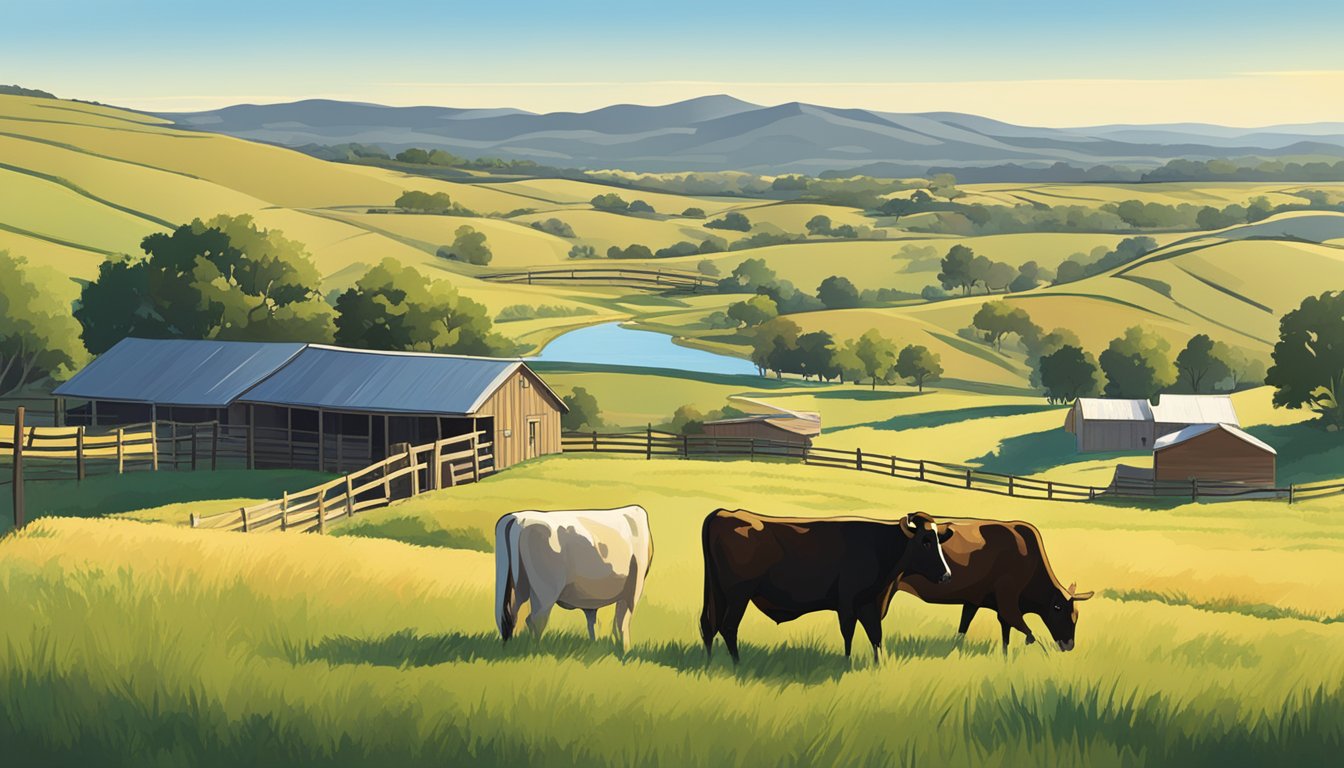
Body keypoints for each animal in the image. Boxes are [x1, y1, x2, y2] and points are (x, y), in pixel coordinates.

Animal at [499, 508, 655, 650]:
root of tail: (519, 518)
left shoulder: (592, 600)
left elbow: (593, 623)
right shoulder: (633, 588)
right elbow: (621, 624)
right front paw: (625, 652)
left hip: (517, 588)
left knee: (510, 617)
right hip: (544, 593)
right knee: (535, 620)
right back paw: (537, 651)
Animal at [704, 508, 956, 664]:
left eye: (938, 540)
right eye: (925, 541)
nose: (947, 575)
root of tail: (724, 513)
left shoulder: (868, 602)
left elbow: (876, 635)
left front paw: (878, 665)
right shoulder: (847, 602)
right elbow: (848, 632)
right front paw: (846, 663)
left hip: (718, 594)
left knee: (708, 626)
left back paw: (710, 664)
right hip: (738, 595)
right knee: (728, 627)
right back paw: (737, 665)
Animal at [892, 519, 1091, 650]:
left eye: (1077, 615)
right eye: (1058, 608)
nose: (1069, 645)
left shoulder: (975, 601)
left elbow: (972, 630)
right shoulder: (1008, 602)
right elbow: (1030, 635)